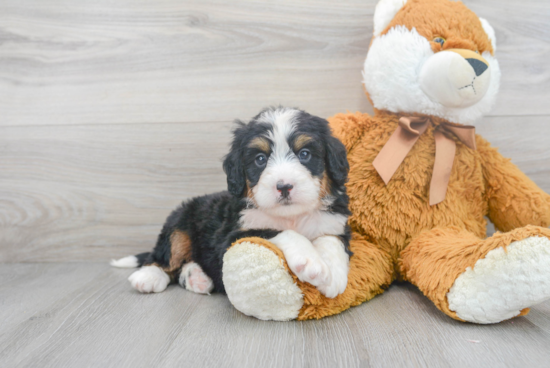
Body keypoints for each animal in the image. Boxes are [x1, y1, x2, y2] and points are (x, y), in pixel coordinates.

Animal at [113, 105, 354, 300]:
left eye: (304, 154)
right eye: (260, 159)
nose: (284, 186)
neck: (291, 216)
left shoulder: (335, 221)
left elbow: (331, 239)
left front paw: (334, 276)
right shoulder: (232, 237)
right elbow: (276, 231)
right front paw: (310, 261)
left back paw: (197, 277)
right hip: (179, 220)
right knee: (164, 256)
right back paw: (149, 276)